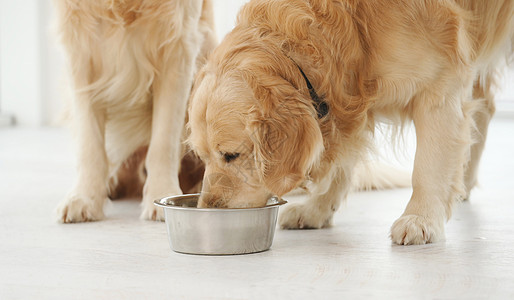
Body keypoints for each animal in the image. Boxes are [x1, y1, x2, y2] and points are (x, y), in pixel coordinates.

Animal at [55, 0, 215, 221]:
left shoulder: (178, 47)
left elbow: (163, 142)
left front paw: (161, 194)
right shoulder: (80, 49)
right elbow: (89, 145)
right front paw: (84, 197)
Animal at [188, 0, 512, 244]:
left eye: (232, 155)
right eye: (202, 157)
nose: (206, 208)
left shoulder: (440, 81)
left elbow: (427, 166)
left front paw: (421, 218)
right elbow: (342, 163)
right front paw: (316, 210)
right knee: (485, 106)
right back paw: (463, 183)